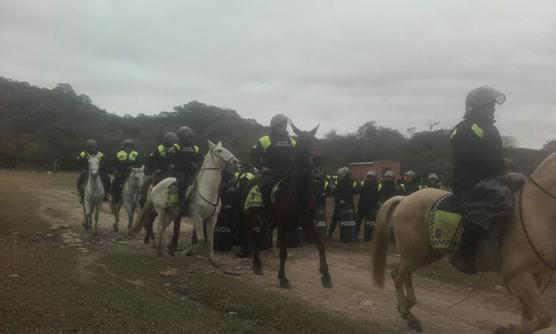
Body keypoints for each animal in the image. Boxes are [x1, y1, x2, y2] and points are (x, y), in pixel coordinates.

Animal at [250, 125, 332, 290]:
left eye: (315, 140)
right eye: (300, 143)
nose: (316, 160)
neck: (299, 193)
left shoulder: (309, 222)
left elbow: (320, 244)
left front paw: (326, 276)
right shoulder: (283, 224)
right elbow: (283, 252)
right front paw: (283, 278)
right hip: (260, 220)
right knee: (256, 239)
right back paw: (256, 265)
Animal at [372, 153, 556, 332]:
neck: (535, 212)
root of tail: (405, 198)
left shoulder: (537, 277)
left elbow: (532, 316)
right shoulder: (517, 276)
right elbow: (545, 317)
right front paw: (505, 329)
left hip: (425, 254)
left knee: (402, 274)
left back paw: (408, 307)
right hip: (414, 253)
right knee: (398, 277)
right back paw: (408, 315)